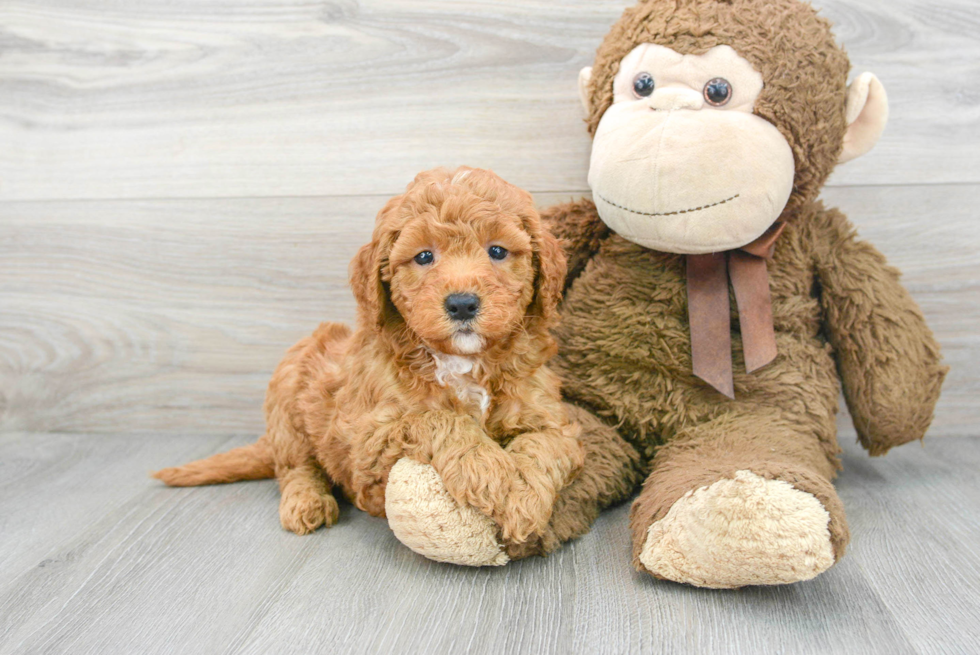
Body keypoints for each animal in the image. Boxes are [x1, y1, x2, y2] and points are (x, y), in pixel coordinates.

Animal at [152, 168, 580, 564]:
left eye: (498, 251)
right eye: (424, 256)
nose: (461, 304)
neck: (462, 362)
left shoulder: (550, 417)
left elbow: (545, 447)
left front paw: (524, 499)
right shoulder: (368, 443)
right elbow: (438, 419)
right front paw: (495, 476)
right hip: (289, 390)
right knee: (294, 466)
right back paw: (305, 503)